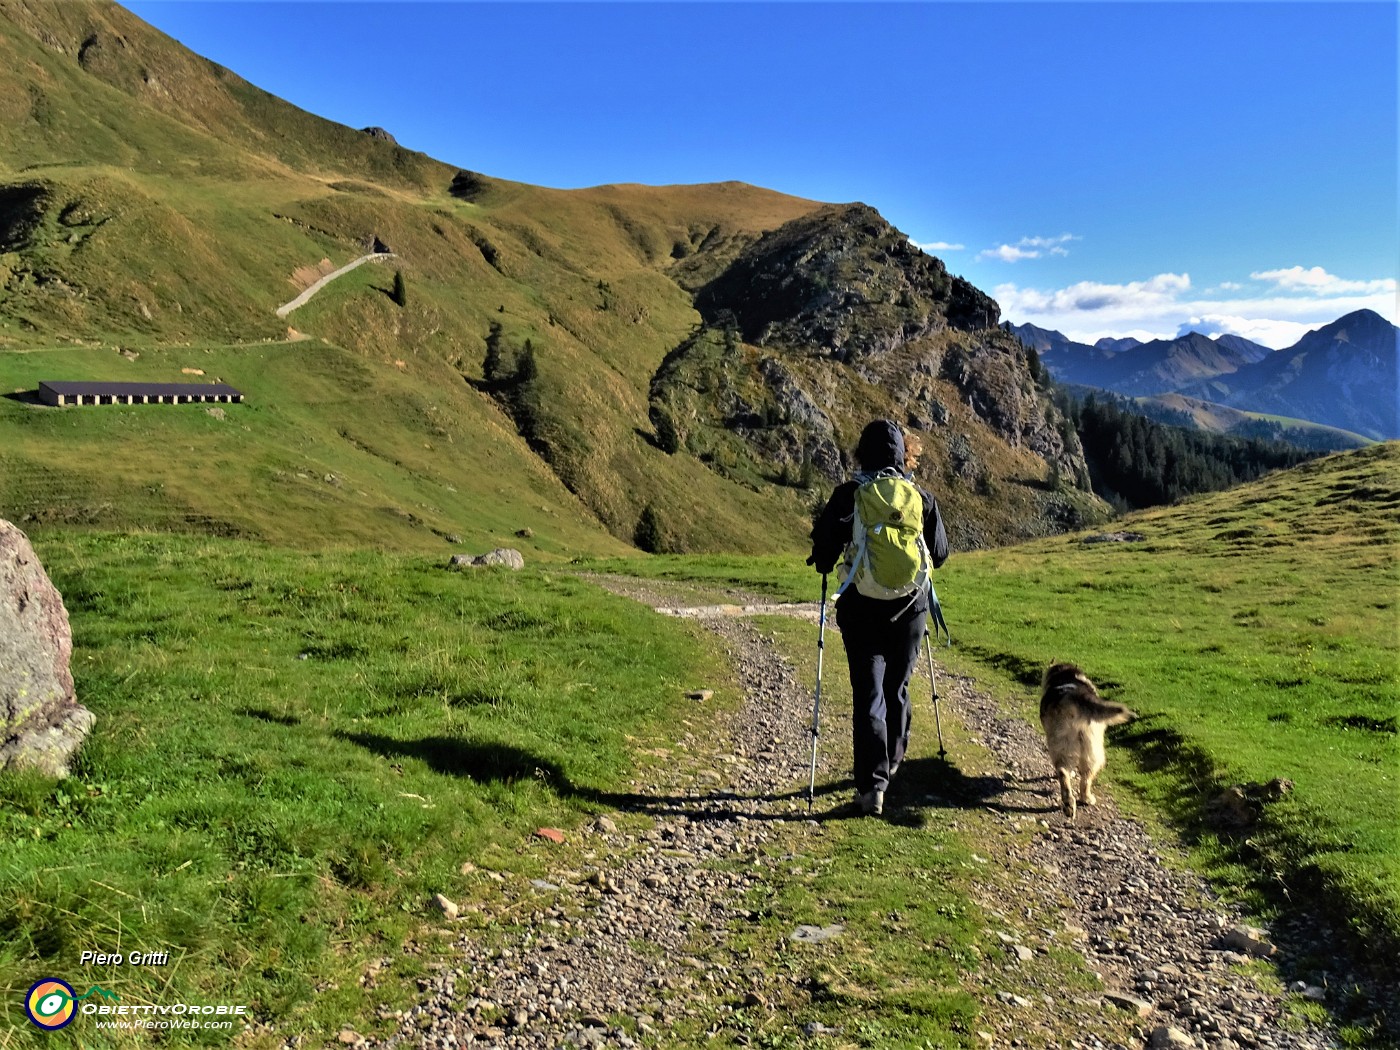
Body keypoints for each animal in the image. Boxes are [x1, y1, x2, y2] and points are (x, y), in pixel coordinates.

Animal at [1041, 666, 1136, 823]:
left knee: (1065, 771)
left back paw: (1070, 804)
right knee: (1082, 776)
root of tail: (1071, 697)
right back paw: (1085, 799)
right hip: (1091, 745)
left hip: (1068, 742)